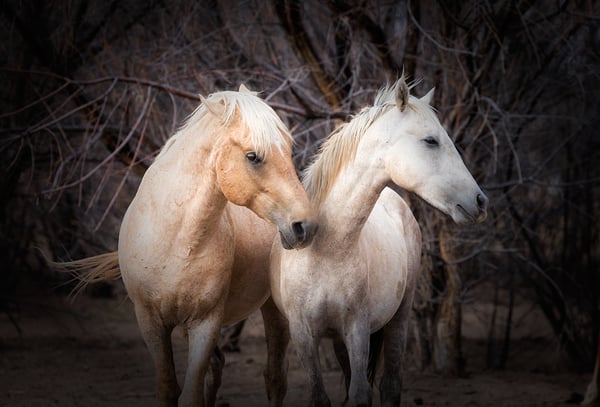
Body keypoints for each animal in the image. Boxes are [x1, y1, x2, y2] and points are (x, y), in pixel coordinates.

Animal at [55, 84, 316, 406]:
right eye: (253, 156)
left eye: (289, 150)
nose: (304, 225)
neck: (176, 241)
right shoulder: (151, 322)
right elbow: (169, 389)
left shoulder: (205, 322)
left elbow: (190, 395)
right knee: (218, 368)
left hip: (274, 312)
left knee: (275, 379)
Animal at [270, 77, 488, 407]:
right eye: (431, 140)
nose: (480, 201)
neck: (325, 250)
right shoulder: (304, 335)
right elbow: (322, 396)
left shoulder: (357, 330)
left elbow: (361, 393)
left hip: (399, 318)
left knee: (390, 385)